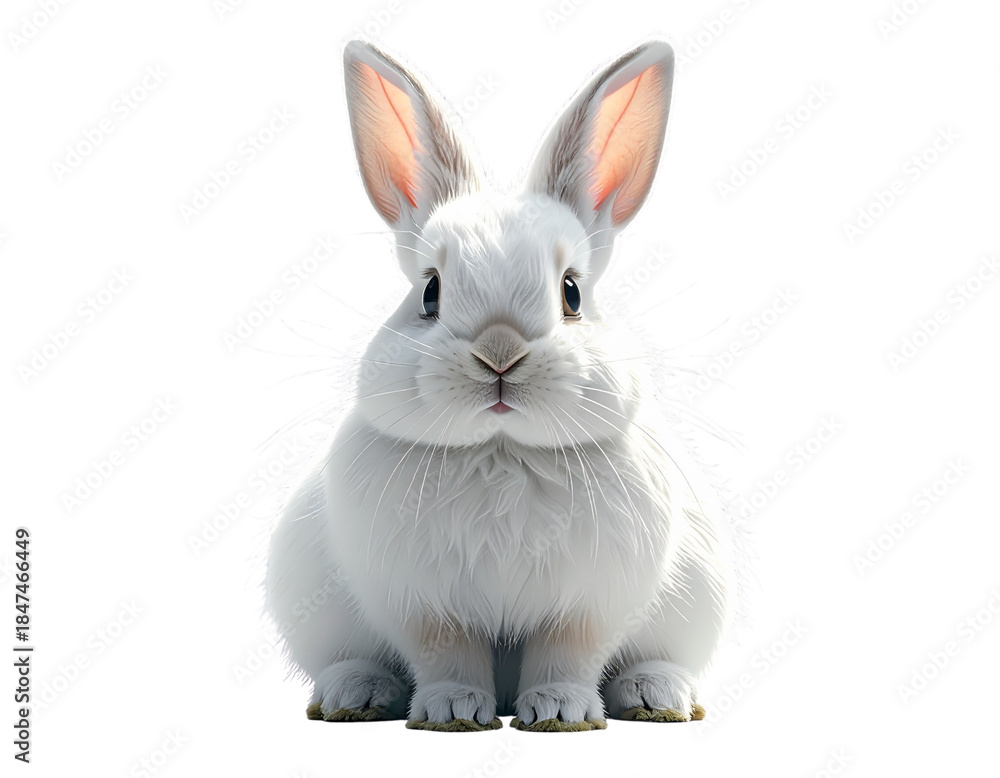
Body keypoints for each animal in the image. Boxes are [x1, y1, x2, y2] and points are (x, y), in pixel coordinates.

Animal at [265, 38, 736, 732]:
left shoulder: (589, 603)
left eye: (571, 293)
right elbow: (446, 653)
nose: (499, 354)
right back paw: (357, 693)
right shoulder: (423, 603)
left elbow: (568, 653)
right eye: (430, 292)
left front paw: (561, 711)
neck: (502, 450)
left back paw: (657, 695)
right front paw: (453, 710)